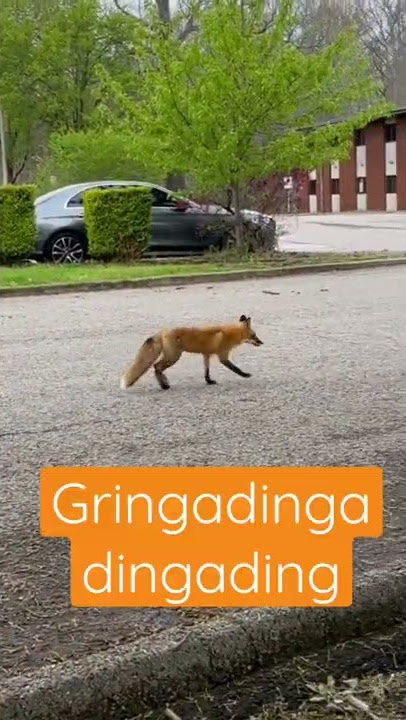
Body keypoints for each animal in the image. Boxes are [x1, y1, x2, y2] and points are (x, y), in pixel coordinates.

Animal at [120, 314, 264, 390]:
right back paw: (164, 385)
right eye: (254, 335)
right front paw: (245, 375)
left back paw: (164, 383)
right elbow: (235, 368)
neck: (229, 334)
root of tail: (163, 331)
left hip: (172, 356)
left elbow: (206, 371)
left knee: (157, 367)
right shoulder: (222, 356)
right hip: (174, 357)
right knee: (156, 366)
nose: (262, 342)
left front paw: (209, 381)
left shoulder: (206, 355)